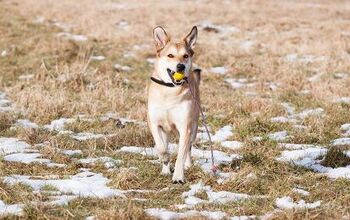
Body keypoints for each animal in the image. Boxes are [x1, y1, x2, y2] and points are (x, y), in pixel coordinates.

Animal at [147, 26, 201, 184]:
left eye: (185, 56)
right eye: (170, 55)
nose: (180, 66)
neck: (169, 91)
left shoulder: (185, 127)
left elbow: (181, 155)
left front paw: (178, 177)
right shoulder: (154, 122)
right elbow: (161, 147)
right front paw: (164, 158)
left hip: (193, 128)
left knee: (188, 148)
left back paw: (188, 165)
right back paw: (165, 169)